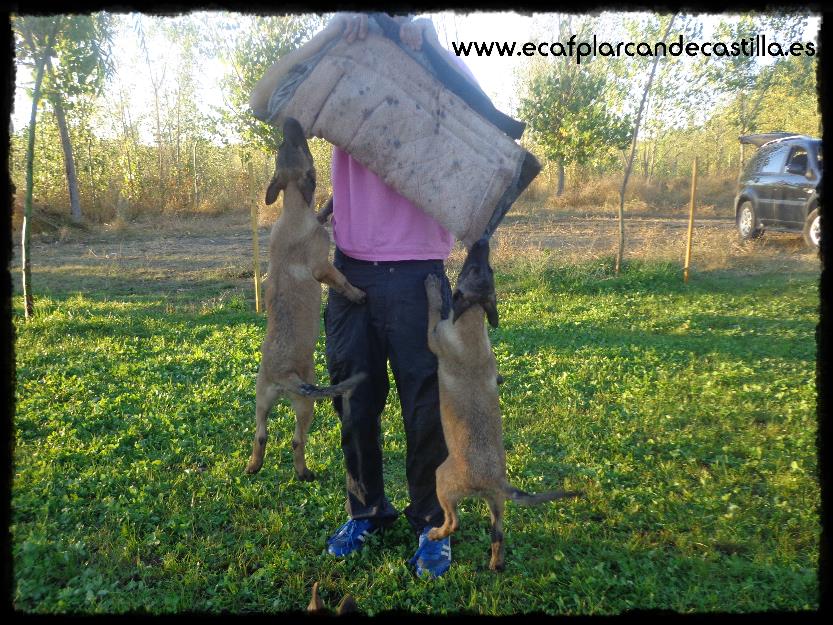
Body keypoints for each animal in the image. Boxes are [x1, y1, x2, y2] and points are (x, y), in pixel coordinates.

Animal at [244, 118, 368, 482]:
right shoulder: (322, 267)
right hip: (305, 404)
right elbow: (341, 280)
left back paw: (254, 465)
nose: (290, 122)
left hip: (261, 401)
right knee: (297, 440)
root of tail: (283, 377)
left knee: (260, 435)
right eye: (302, 146)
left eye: (287, 145)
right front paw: (357, 295)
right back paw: (303, 472)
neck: (293, 210)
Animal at [422, 238, 580, 572]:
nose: (482, 241)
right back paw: (496, 563)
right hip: (496, 504)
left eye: (472, 269)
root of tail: (493, 481)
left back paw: (436, 533)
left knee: (453, 521)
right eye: (486, 268)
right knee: (498, 533)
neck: (473, 319)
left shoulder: (433, 335)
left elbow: (433, 310)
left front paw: (433, 286)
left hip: (442, 479)